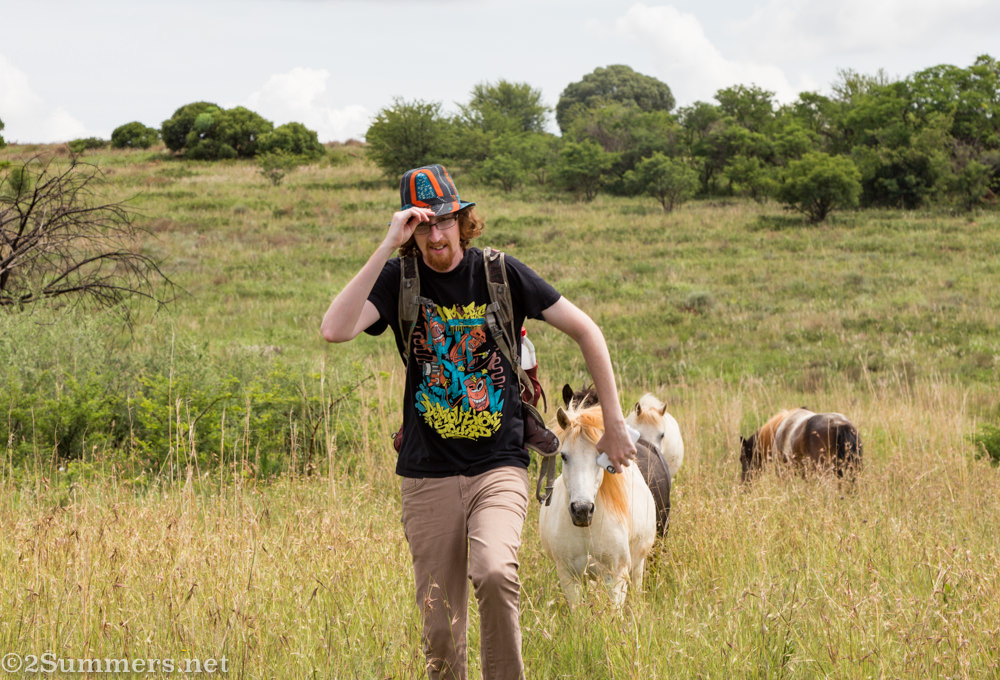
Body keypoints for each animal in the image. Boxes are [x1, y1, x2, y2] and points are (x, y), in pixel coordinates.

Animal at [538, 404, 656, 608]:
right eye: (564, 456)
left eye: (599, 456)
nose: (582, 510)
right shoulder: (569, 576)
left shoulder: (616, 576)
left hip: (637, 564)